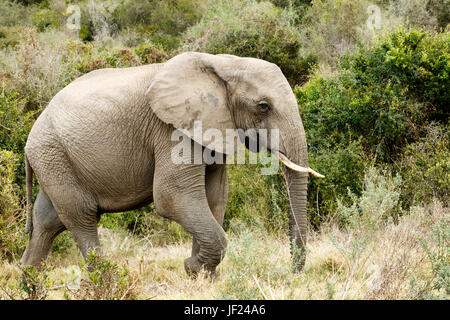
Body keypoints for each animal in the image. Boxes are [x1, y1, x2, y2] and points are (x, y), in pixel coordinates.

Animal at [20, 51, 324, 276]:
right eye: (263, 106)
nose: (292, 273)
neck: (223, 64)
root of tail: (30, 136)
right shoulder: (170, 130)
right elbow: (173, 197)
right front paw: (193, 268)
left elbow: (215, 197)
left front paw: (203, 277)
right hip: (53, 154)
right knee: (81, 216)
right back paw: (108, 278)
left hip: (54, 159)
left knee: (48, 220)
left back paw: (30, 279)